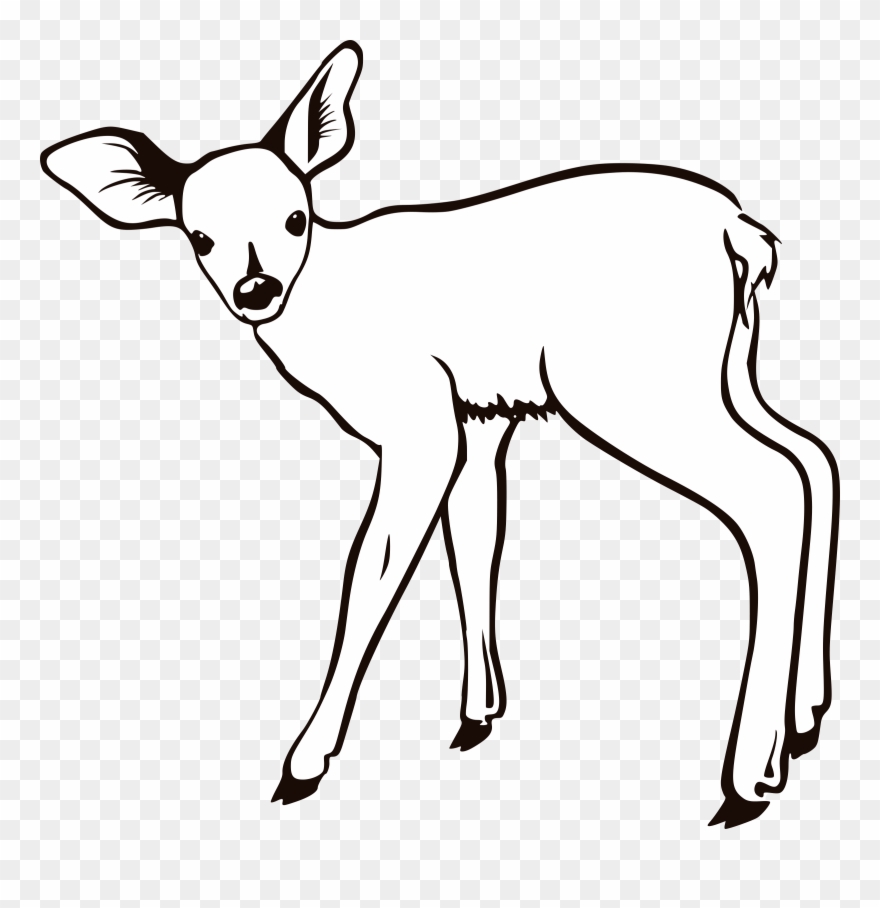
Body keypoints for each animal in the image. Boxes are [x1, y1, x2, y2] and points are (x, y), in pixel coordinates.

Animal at [40, 40, 839, 828]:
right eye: (200, 236)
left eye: (296, 217)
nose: (256, 289)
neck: (332, 311)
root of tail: (739, 232)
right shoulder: (480, 417)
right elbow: (476, 540)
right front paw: (477, 712)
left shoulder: (417, 419)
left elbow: (371, 569)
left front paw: (304, 762)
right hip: (727, 370)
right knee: (812, 456)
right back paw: (806, 716)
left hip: (631, 385)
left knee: (771, 486)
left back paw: (750, 775)